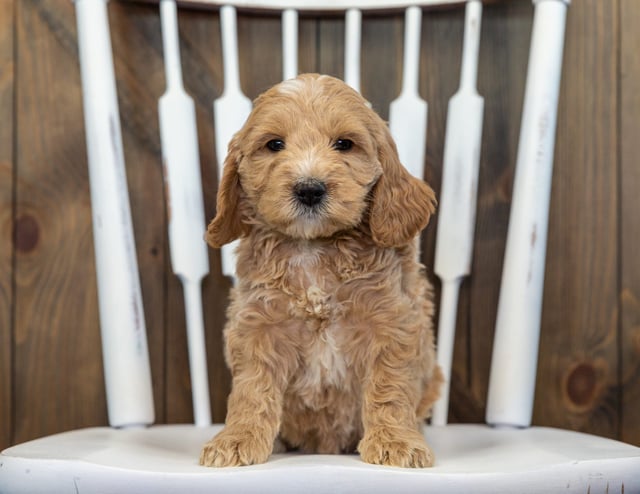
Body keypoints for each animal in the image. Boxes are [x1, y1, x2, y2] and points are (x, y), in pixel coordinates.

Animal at [202, 72, 442, 466]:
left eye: (344, 144)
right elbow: (252, 390)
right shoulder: (258, 327)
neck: (313, 248)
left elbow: (389, 389)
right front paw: (236, 439)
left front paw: (395, 442)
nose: (310, 189)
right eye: (274, 144)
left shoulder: (392, 325)